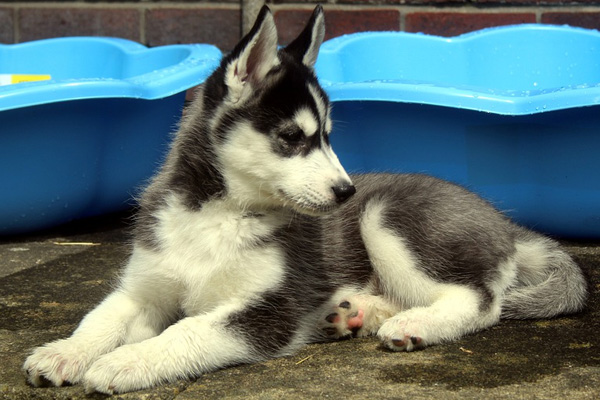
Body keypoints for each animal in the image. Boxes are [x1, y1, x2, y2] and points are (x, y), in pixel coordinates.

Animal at [23, 5, 584, 394]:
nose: (346, 191)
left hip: (387, 218)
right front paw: (64, 352)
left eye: (329, 137)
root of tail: (505, 224)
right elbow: (101, 316)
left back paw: (415, 323)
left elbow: (185, 331)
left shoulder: (266, 310)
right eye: (293, 138)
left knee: (482, 301)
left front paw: (125, 362)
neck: (217, 214)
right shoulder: (145, 287)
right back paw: (350, 314)